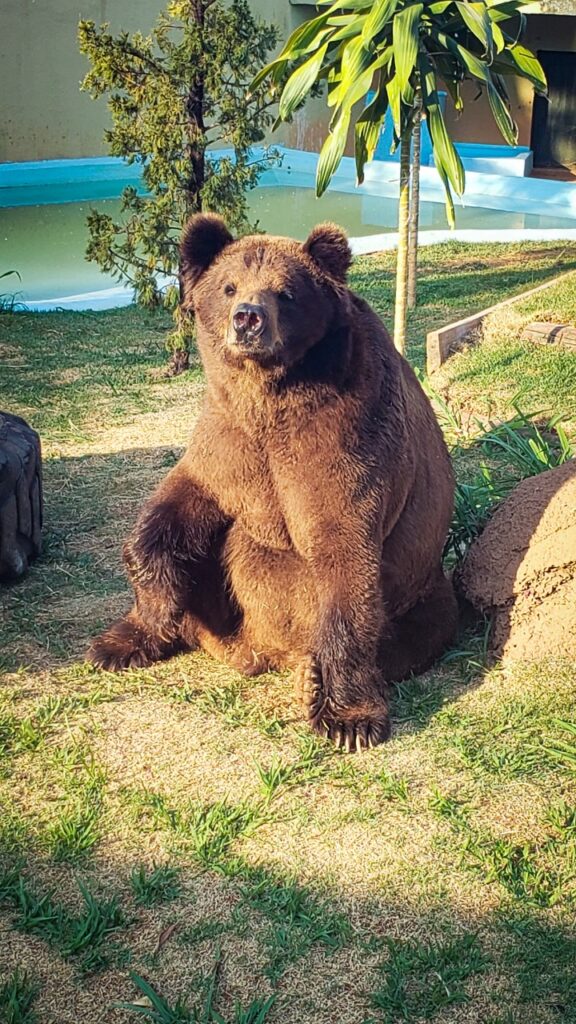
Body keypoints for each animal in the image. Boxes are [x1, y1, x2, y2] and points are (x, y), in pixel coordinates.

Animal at [89, 214, 455, 753]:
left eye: (285, 291)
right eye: (229, 286)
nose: (247, 319)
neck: (269, 395)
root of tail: (255, 650)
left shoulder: (342, 439)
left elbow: (342, 560)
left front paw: (349, 720)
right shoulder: (229, 442)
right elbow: (176, 509)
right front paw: (125, 636)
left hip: (421, 592)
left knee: (403, 634)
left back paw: (310, 675)